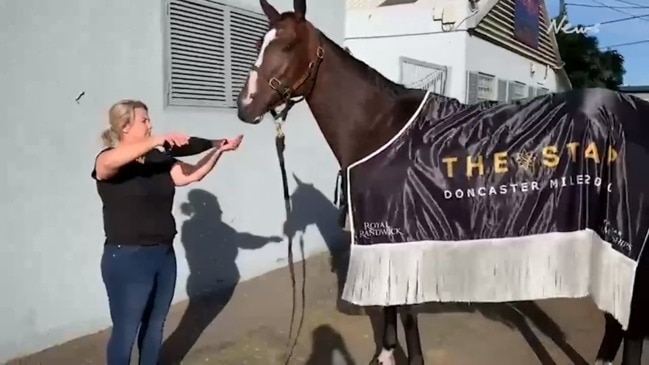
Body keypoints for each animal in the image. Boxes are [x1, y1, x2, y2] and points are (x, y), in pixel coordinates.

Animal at [233, 0, 648, 362]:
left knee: (631, 325)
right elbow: (391, 303)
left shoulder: (398, 231)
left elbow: (404, 308)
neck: (381, 127)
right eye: (257, 44)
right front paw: (386, 354)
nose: (245, 106)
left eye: (288, 45)